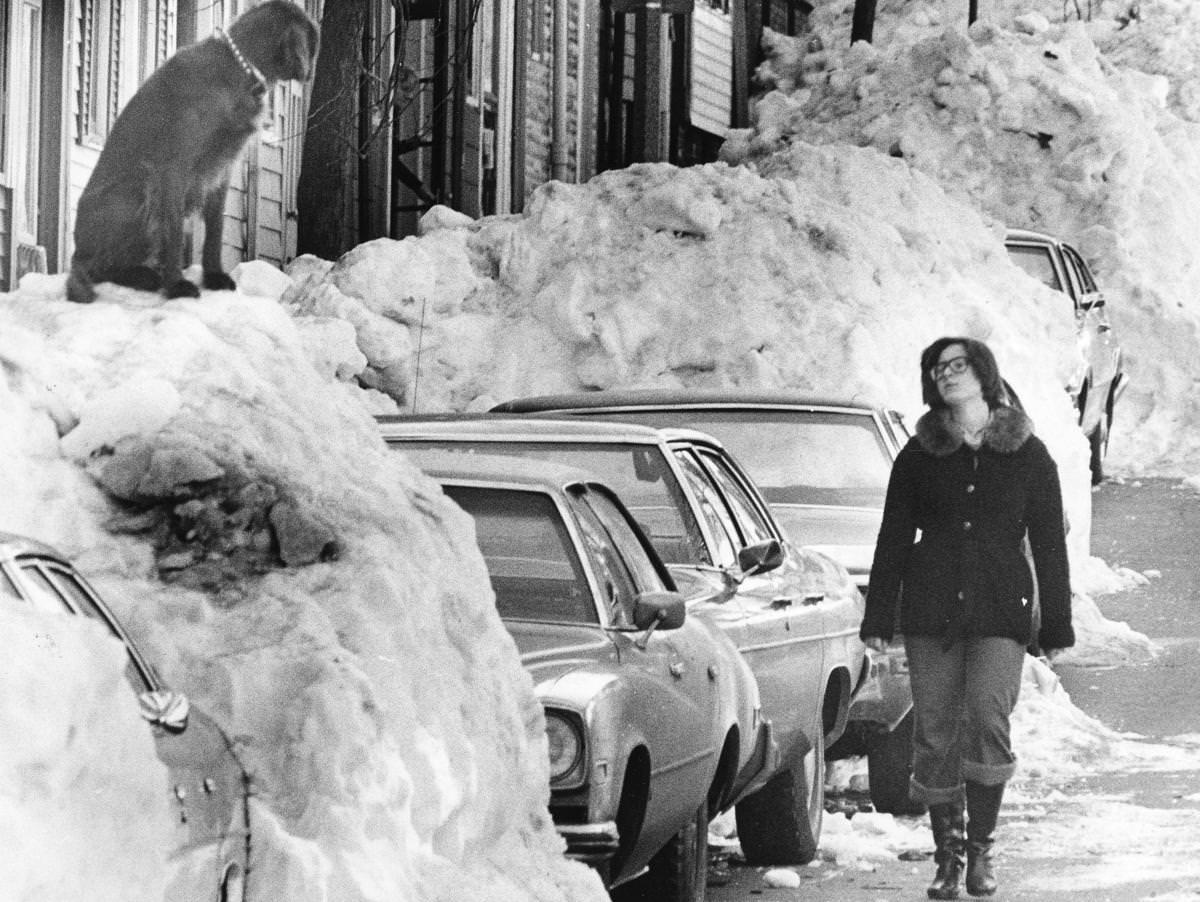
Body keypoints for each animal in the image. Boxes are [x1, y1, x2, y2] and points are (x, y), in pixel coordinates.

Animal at [65, 0, 319, 304]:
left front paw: (214, 276)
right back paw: (143, 277)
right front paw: (177, 284)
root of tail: (77, 249)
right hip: (135, 191)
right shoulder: (175, 166)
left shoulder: (222, 168)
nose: (308, 72)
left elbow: (216, 228)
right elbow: (173, 231)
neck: (238, 71)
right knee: (94, 268)